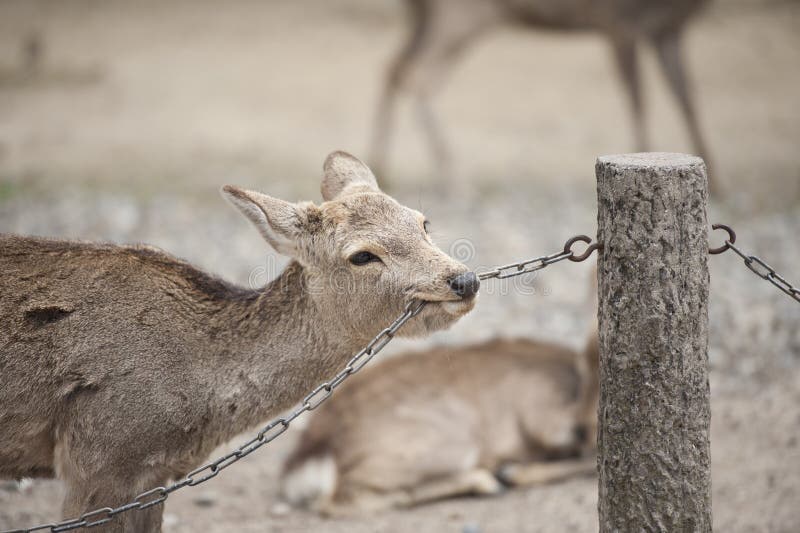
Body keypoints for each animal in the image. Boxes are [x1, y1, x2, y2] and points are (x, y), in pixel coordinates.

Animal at [281, 325, 599, 515]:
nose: (584, 429)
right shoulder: (541, 411)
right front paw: (510, 472)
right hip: (452, 441)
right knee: (342, 499)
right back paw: (487, 481)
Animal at [369, 0, 716, 193]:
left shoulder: (668, 29)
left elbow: (687, 98)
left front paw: (716, 178)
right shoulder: (619, 23)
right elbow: (638, 96)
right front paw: (642, 150)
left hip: (434, 17)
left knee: (395, 67)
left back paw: (384, 168)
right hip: (459, 15)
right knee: (415, 74)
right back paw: (451, 177)